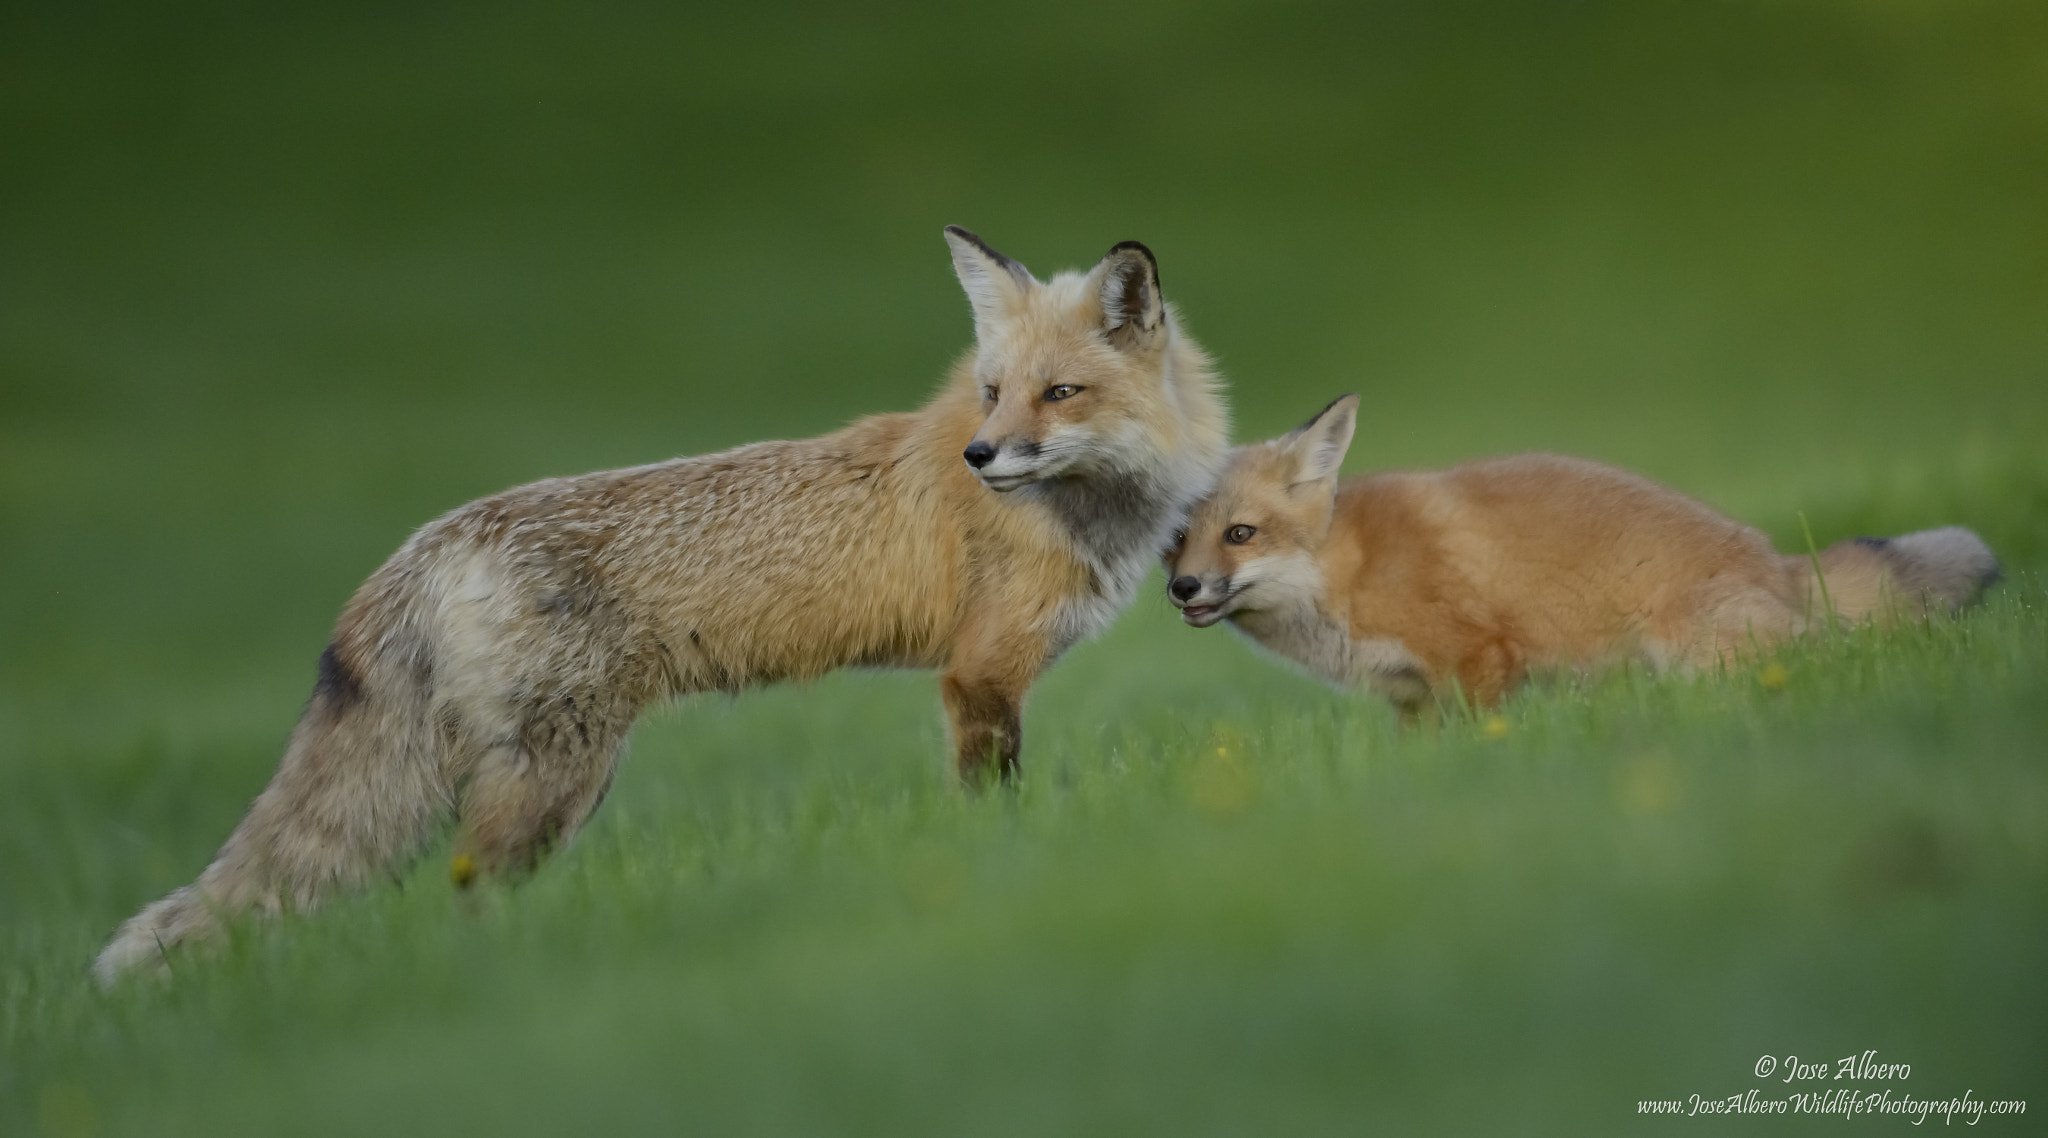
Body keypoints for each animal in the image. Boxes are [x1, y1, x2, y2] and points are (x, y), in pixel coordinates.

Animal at [93, 227, 1230, 983]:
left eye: (1059, 394)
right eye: (994, 391)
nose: (982, 455)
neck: (1084, 508)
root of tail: (423, 544)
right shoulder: (979, 672)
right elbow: (990, 802)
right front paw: (996, 868)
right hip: (554, 782)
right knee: (465, 892)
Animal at [1165, 394, 1999, 714]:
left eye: (1240, 534)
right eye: (1175, 539)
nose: (1183, 588)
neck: (1347, 574)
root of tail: (1783, 564)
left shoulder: (1479, 659)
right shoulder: (1412, 702)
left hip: (1693, 659)